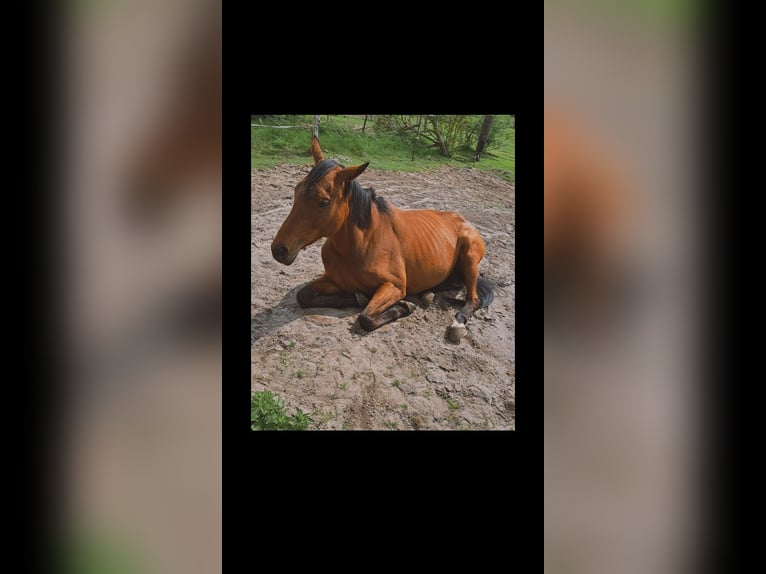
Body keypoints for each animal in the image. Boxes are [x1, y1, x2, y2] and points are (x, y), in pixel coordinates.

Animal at [272, 137, 496, 344]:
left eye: (324, 202)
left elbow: (366, 318)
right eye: (296, 190)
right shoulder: (333, 280)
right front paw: (359, 297)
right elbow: (303, 296)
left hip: (469, 257)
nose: (279, 250)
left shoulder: (394, 286)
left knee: (473, 299)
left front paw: (403, 307)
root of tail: (463, 220)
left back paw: (457, 323)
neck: (360, 246)